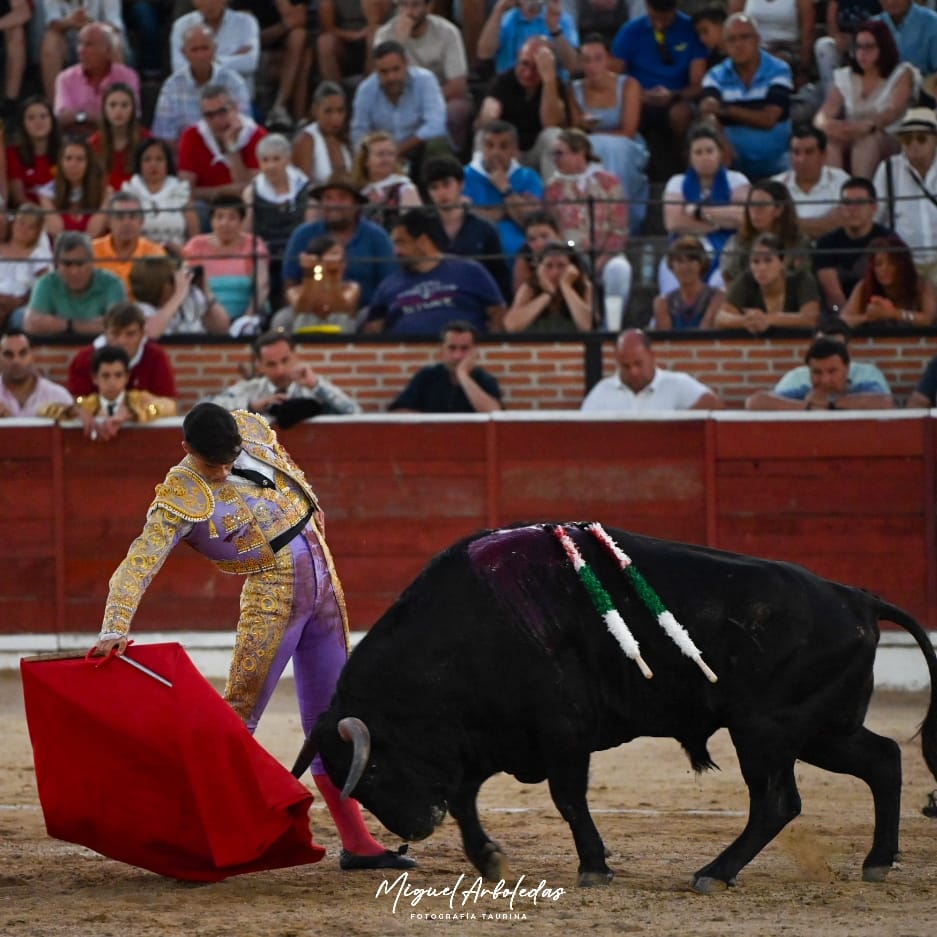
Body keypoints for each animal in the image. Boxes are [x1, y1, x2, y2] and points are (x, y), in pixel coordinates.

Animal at [292, 524, 936, 888]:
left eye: (374, 769)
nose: (414, 832)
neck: (466, 630)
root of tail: (857, 597)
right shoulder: (490, 738)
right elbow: (468, 799)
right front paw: (490, 860)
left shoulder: (562, 733)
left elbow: (567, 799)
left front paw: (594, 868)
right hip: (823, 730)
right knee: (882, 760)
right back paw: (877, 862)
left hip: (767, 730)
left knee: (778, 801)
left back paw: (713, 873)